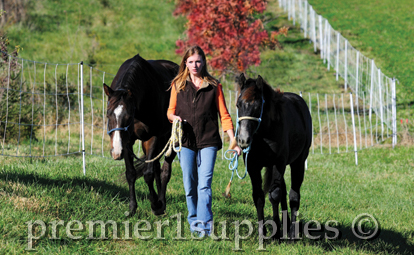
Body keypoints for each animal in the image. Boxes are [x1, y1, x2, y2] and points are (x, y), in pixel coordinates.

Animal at [103, 54, 178, 216]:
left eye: (128, 115)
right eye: (108, 114)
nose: (116, 152)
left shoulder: (153, 137)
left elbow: (148, 174)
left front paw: (155, 205)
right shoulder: (127, 141)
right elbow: (131, 173)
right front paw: (132, 207)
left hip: (172, 140)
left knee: (165, 171)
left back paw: (161, 204)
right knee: (156, 167)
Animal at [236, 73, 310, 239]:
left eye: (257, 106)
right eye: (238, 104)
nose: (243, 140)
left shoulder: (279, 163)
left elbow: (274, 195)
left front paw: (276, 233)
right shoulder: (253, 166)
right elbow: (259, 196)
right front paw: (262, 233)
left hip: (298, 163)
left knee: (293, 195)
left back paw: (291, 232)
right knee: (283, 191)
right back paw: (285, 224)